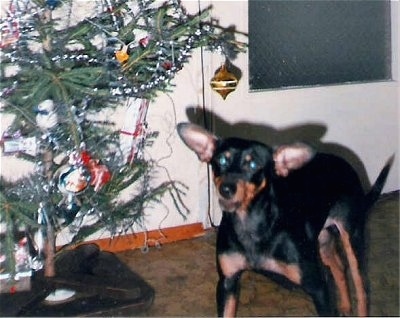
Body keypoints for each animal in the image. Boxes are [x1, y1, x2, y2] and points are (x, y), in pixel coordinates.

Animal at [177, 121, 392, 316]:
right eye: (221, 160)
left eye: (254, 164)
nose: (226, 189)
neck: (252, 227)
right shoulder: (227, 283)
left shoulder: (318, 288)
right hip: (322, 239)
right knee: (339, 266)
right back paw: (346, 306)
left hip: (352, 238)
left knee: (361, 288)